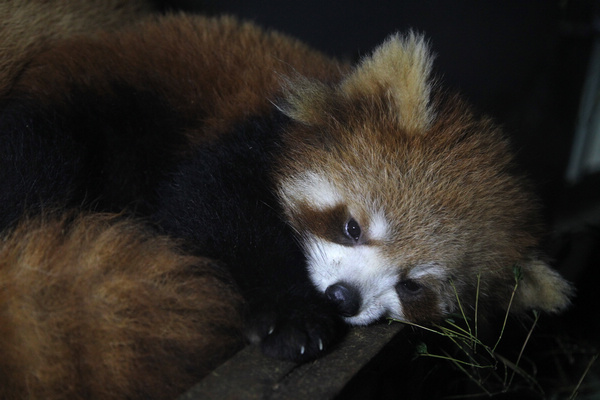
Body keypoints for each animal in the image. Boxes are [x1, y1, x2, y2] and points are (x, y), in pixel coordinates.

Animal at [0, 1, 572, 398]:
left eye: (412, 286)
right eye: (352, 228)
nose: (343, 298)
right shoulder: (238, 137)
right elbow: (216, 207)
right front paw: (290, 316)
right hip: (97, 109)